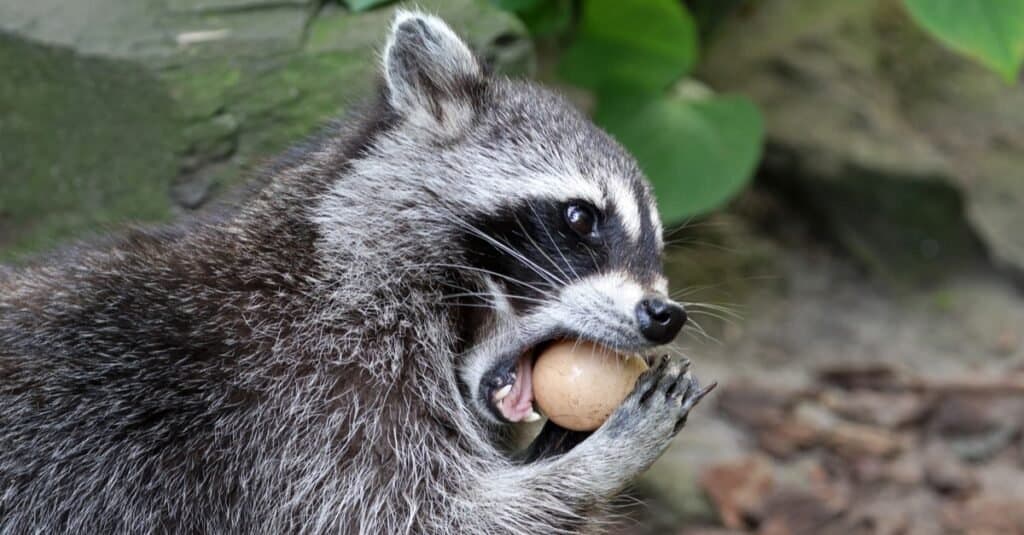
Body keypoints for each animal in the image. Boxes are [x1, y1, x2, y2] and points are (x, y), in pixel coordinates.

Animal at [0, 10, 716, 528]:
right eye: (579, 218)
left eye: (656, 244)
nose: (665, 315)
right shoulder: (299, 397)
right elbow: (409, 513)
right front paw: (593, 465)